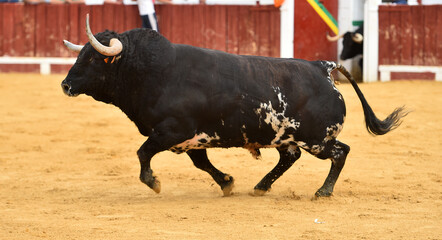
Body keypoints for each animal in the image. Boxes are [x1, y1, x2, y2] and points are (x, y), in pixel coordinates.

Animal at [62, 21, 408, 197]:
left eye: (92, 58)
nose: (65, 85)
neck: (151, 72)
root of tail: (322, 67)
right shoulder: (191, 138)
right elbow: (202, 164)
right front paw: (227, 183)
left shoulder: (171, 131)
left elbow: (143, 153)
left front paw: (153, 182)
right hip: (286, 137)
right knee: (291, 157)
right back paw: (261, 186)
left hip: (317, 139)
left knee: (340, 152)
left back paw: (323, 192)